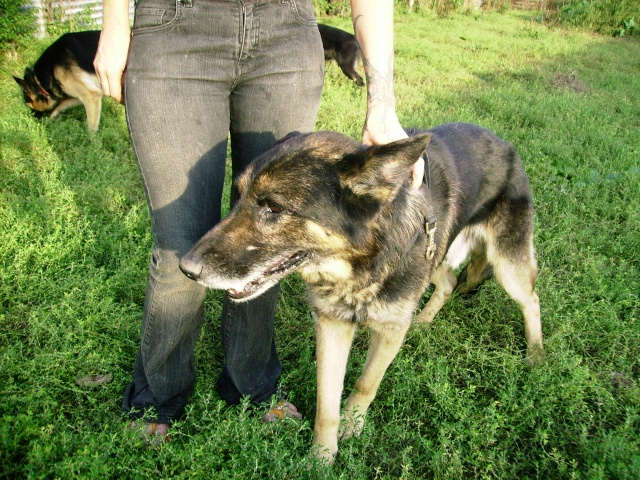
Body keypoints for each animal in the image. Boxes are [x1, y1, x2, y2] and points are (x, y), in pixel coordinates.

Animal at [180, 122, 544, 464]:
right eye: (237, 196)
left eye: (273, 208)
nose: (185, 267)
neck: (359, 267)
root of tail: (503, 143)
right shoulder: (331, 326)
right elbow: (326, 402)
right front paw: (321, 458)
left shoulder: (389, 332)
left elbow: (366, 383)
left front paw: (352, 427)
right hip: (437, 252)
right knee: (449, 283)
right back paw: (424, 320)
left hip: (506, 265)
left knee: (531, 299)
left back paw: (536, 354)